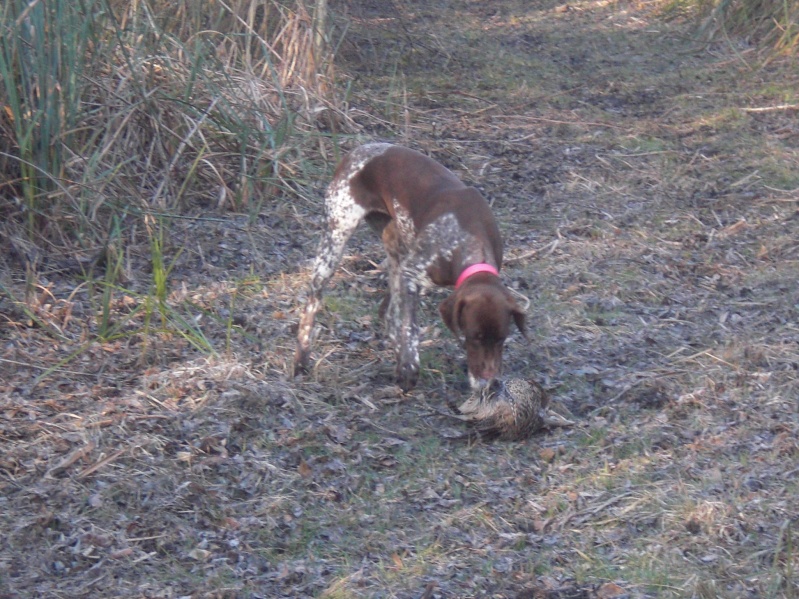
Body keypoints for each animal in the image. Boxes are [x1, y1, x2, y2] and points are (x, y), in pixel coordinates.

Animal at [294, 143, 524, 392]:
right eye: (473, 337)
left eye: (502, 338)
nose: (488, 380)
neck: (469, 239)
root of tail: (357, 150)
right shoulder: (411, 273)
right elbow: (409, 328)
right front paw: (409, 368)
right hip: (334, 244)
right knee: (313, 304)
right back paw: (302, 358)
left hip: (396, 249)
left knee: (389, 314)